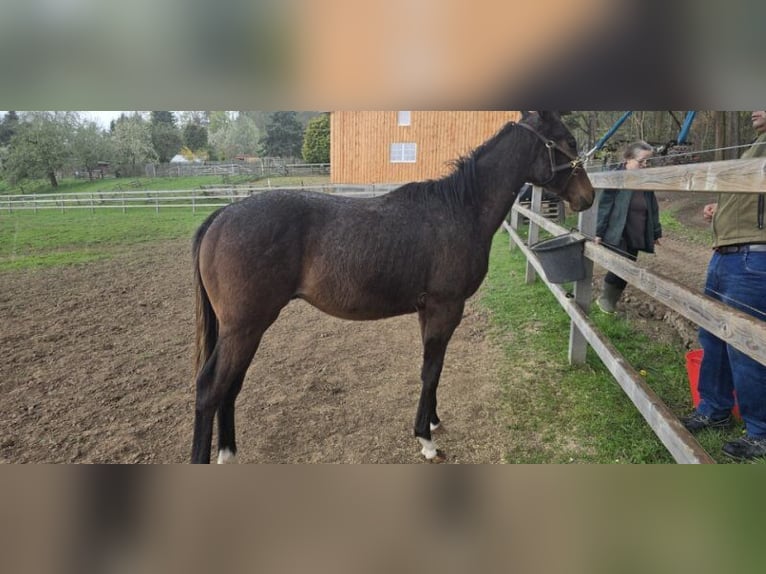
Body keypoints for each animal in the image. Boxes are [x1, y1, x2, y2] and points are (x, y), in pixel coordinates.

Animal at [190, 111, 594, 463]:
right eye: (569, 141)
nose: (587, 196)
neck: (459, 209)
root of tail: (221, 216)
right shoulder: (446, 307)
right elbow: (430, 369)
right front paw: (426, 440)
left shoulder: (428, 310)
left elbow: (434, 368)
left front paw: (432, 421)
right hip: (245, 327)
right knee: (211, 389)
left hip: (242, 330)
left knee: (230, 387)